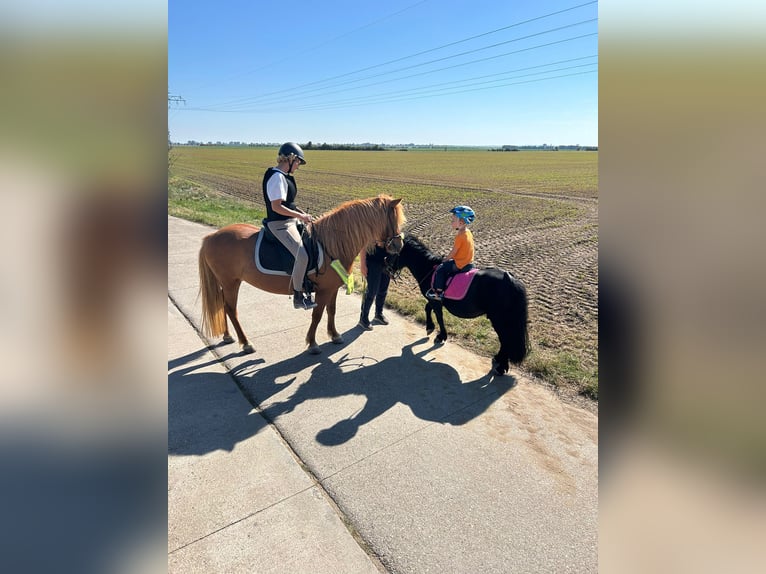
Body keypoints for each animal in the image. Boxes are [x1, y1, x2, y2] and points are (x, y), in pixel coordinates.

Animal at [198, 195, 404, 356]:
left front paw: (334, 335)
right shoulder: (323, 291)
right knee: (231, 309)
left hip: (227, 283)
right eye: (394, 220)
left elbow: (331, 311)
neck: (331, 243)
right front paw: (312, 344)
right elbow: (317, 315)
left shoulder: (333, 289)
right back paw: (246, 343)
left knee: (222, 305)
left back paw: (228, 336)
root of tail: (211, 237)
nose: (398, 246)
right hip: (231, 282)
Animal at [388, 235, 532, 378]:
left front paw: (441, 335)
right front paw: (430, 327)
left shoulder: (436, 301)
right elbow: (428, 308)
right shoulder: (434, 299)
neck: (428, 267)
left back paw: (502, 367)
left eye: (393, 252)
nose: (387, 267)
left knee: (506, 340)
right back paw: (498, 359)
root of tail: (510, 279)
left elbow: (438, 316)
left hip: (499, 319)